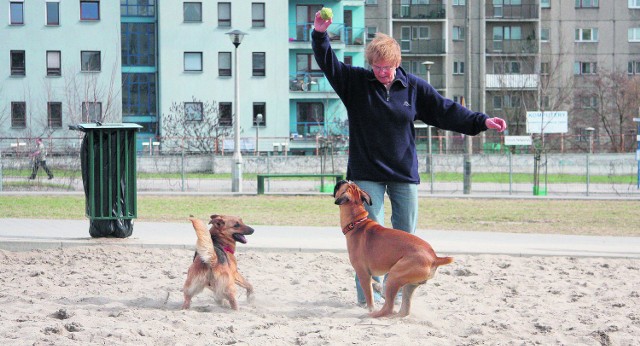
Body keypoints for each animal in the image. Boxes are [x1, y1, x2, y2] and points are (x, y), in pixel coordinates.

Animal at [332, 180, 452, 318]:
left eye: (341, 186)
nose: (342, 180)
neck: (357, 223)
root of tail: (434, 257)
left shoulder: (363, 274)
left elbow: (370, 298)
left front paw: (370, 308)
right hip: (408, 285)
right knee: (404, 310)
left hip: (393, 277)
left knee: (388, 308)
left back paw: (372, 315)